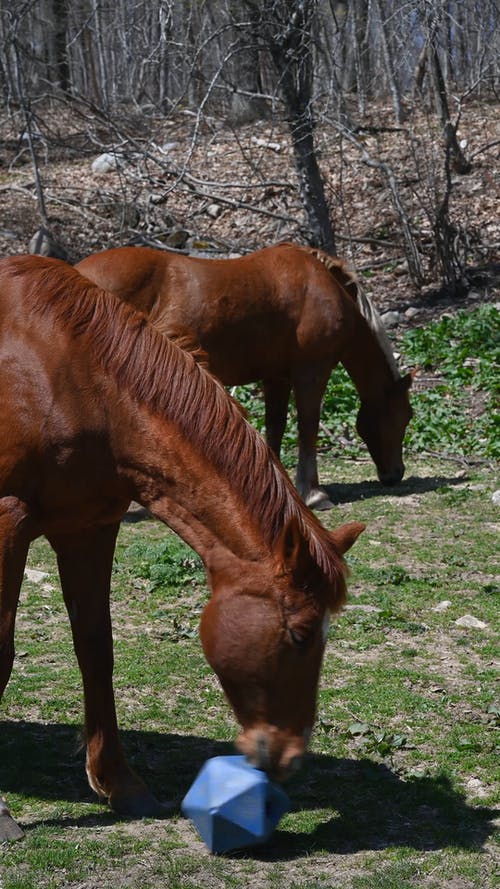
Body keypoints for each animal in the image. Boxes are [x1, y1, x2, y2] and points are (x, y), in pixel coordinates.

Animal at [0, 253, 364, 836]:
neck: (65, 377)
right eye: (302, 634)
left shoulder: (88, 529)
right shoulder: (7, 525)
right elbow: (1, 653)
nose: (289, 757)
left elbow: (96, 648)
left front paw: (120, 783)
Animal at [76, 241, 414, 506]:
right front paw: (314, 494)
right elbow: (307, 426)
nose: (395, 474)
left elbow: (276, 426)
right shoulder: (311, 371)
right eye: (406, 415)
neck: (322, 285)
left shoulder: (276, 377)